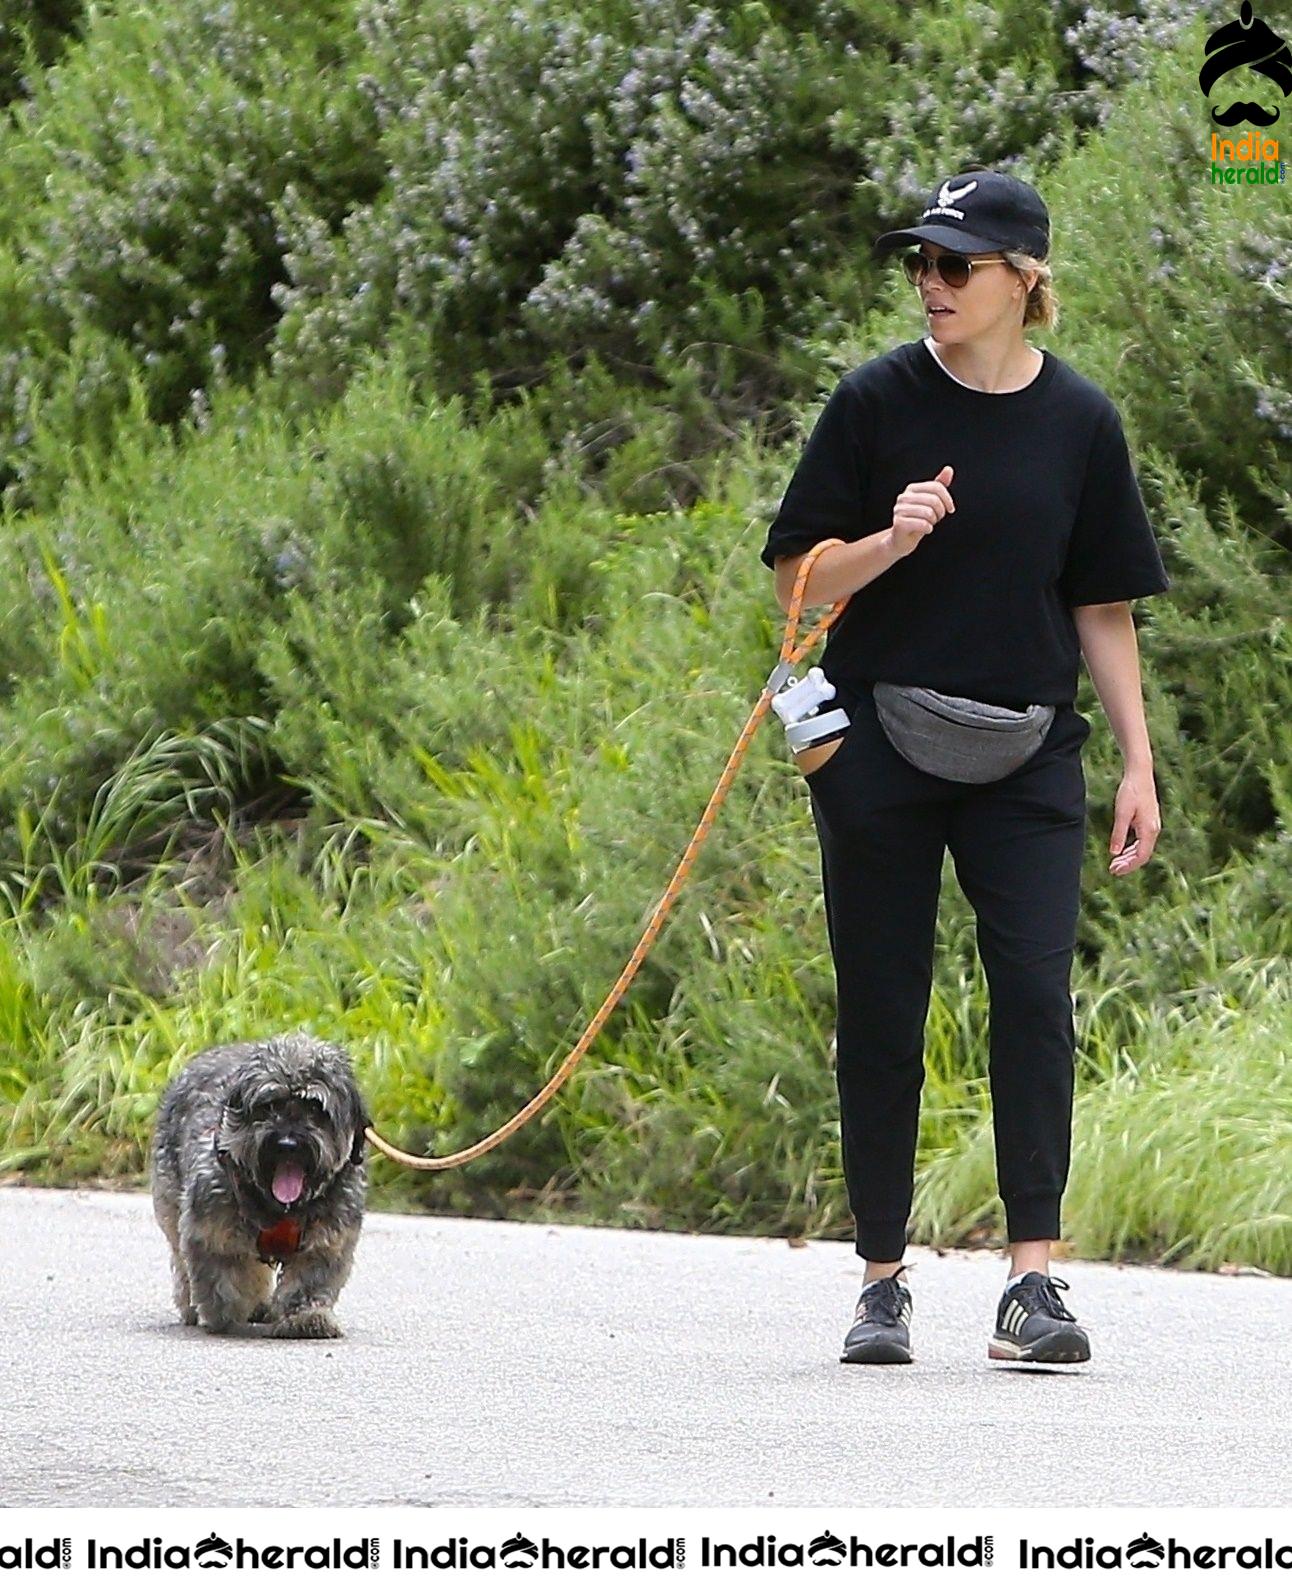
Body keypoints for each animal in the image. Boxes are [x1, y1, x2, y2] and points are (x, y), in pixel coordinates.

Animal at [154, 1026, 374, 1338]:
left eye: (315, 1109)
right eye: (270, 1105)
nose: (288, 1144)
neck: (282, 1207)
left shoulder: (329, 1240)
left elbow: (309, 1281)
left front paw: (306, 1317)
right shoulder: (210, 1230)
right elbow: (224, 1278)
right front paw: (228, 1311)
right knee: (182, 1262)